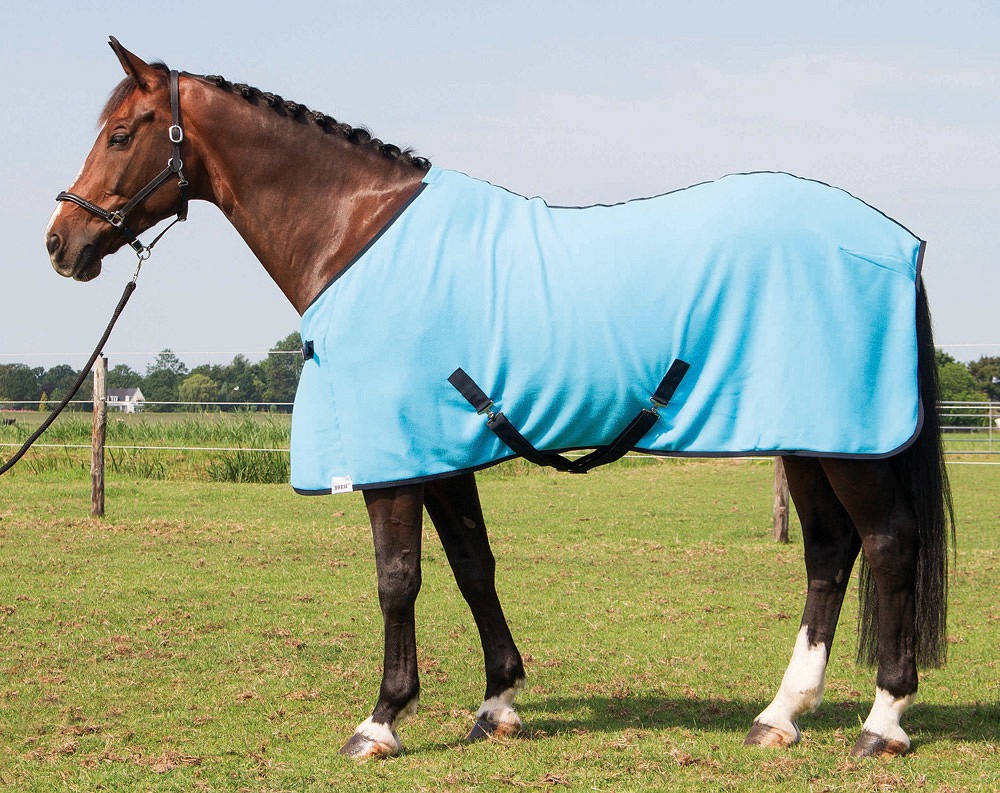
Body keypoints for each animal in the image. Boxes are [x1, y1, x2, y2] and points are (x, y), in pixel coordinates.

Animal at [45, 38, 952, 760]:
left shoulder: (397, 463)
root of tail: (898, 241)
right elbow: (473, 565)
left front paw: (381, 720)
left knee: (888, 544)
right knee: (829, 552)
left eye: (121, 134)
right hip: (809, 437)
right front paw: (498, 701)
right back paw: (780, 715)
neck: (354, 233)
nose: (61, 243)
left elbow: (399, 578)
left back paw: (883, 721)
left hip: (845, 446)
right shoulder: (445, 448)